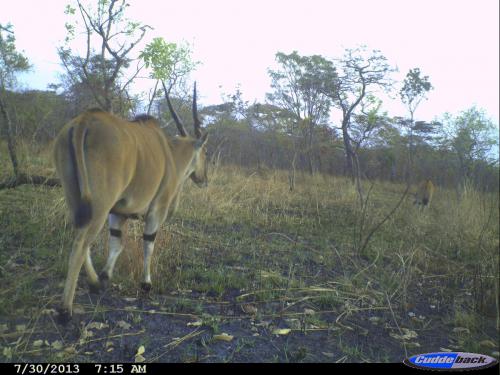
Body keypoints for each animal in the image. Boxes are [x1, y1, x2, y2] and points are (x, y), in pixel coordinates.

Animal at [54, 84, 209, 324]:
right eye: (206, 153)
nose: (204, 179)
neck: (171, 155)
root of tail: (85, 120)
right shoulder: (156, 210)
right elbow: (148, 243)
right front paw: (146, 284)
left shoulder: (118, 213)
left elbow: (117, 243)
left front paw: (105, 276)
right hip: (100, 206)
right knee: (80, 244)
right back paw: (65, 309)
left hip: (76, 200)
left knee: (80, 236)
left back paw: (95, 283)